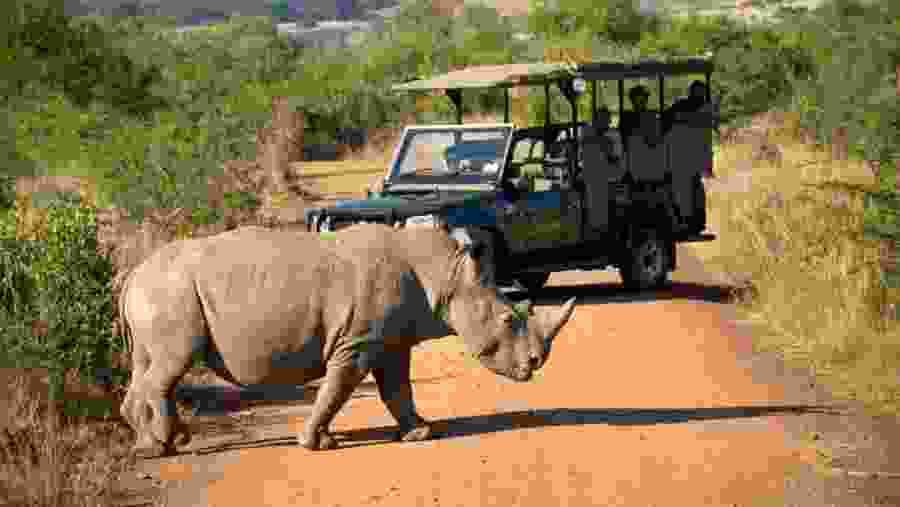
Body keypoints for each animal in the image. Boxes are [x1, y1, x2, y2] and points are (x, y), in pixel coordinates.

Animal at [117, 224, 576, 458]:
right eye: (507, 319)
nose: (535, 363)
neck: (446, 273)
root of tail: (131, 275)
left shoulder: (390, 340)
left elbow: (397, 388)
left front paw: (419, 434)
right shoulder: (356, 341)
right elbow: (337, 389)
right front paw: (316, 444)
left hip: (159, 294)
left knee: (149, 366)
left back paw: (156, 444)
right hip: (169, 294)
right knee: (172, 365)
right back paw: (163, 447)